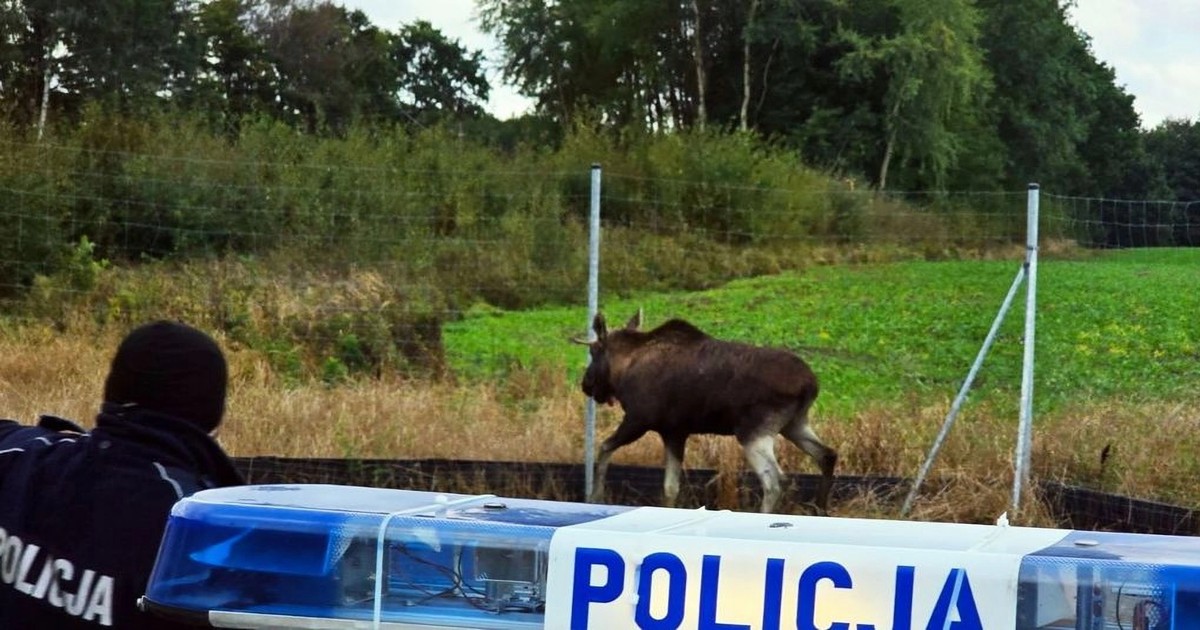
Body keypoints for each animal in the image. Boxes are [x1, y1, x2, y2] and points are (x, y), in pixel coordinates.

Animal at [576, 307, 840, 513]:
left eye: (593, 352)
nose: (586, 385)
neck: (623, 369)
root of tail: (811, 384)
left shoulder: (638, 419)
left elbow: (604, 447)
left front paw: (595, 496)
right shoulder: (674, 431)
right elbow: (670, 487)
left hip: (754, 431)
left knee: (775, 480)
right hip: (794, 423)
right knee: (827, 455)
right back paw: (820, 510)